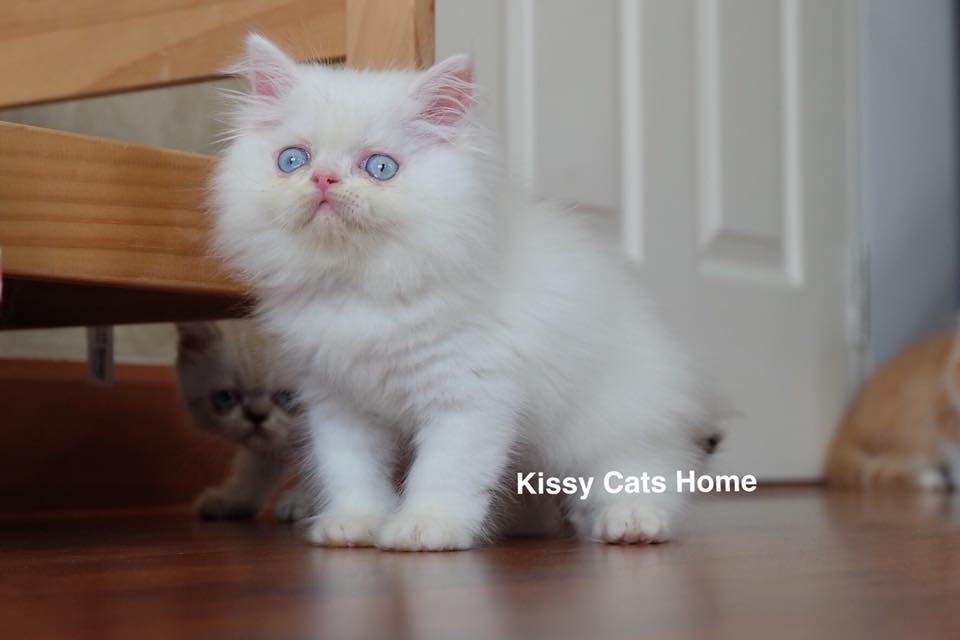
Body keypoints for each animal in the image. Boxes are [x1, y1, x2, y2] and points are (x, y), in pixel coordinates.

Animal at [176, 319, 315, 521]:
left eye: (287, 398)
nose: (257, 416)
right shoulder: (270, 445)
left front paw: (300, 501)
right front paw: (230, 500)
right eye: (225, 397)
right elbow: (253, 474)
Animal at [208, 34, 721, 550]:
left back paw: (630, 522)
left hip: (607, 421)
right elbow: (350, 471)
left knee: (644, 469)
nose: (324, 179)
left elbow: (444, 470)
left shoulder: (468, 395)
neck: (359, 288)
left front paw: (425, 527)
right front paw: (354, 524)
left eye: (380, 167)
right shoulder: (339, 405)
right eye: (293, 160)